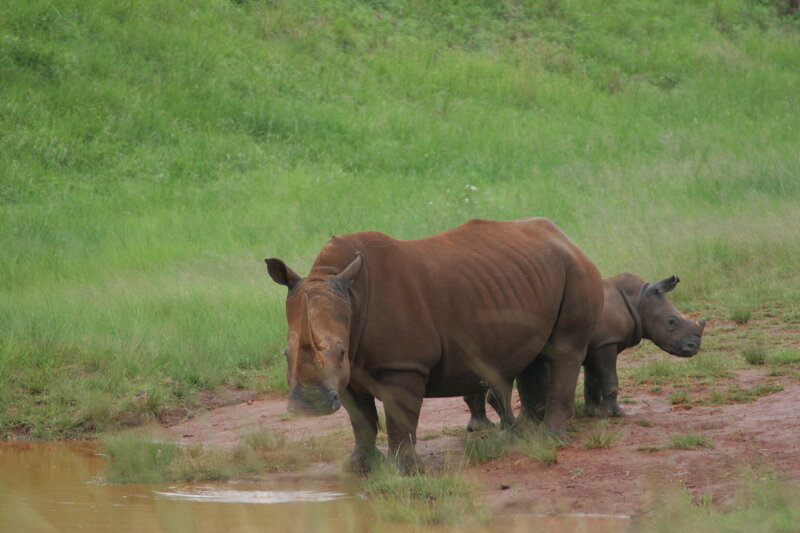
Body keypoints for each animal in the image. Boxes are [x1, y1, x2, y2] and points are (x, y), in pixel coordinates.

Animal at [265, 218, 603, 473]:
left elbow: (400, 419)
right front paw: (359, 467)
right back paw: (520, 437)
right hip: (531, 278)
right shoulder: (348, 374)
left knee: (565, 350)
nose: (310, 407)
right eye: (285, 354)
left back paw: (550, 440)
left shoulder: (403, 366)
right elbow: (361, 420)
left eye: (340, 350)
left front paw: (408, 472)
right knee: (533, 356)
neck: (345, 288)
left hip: (575, 268)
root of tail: (566, 237)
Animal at [464, 273, 707, 431]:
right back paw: (508, 427)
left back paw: (483, 428)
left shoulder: (597, 345)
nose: (694, 348)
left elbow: (593, 380)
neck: (638, 300)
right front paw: (617, 413)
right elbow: (609, 378)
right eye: (671, 322)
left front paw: (595, 412)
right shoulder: (606, 344)